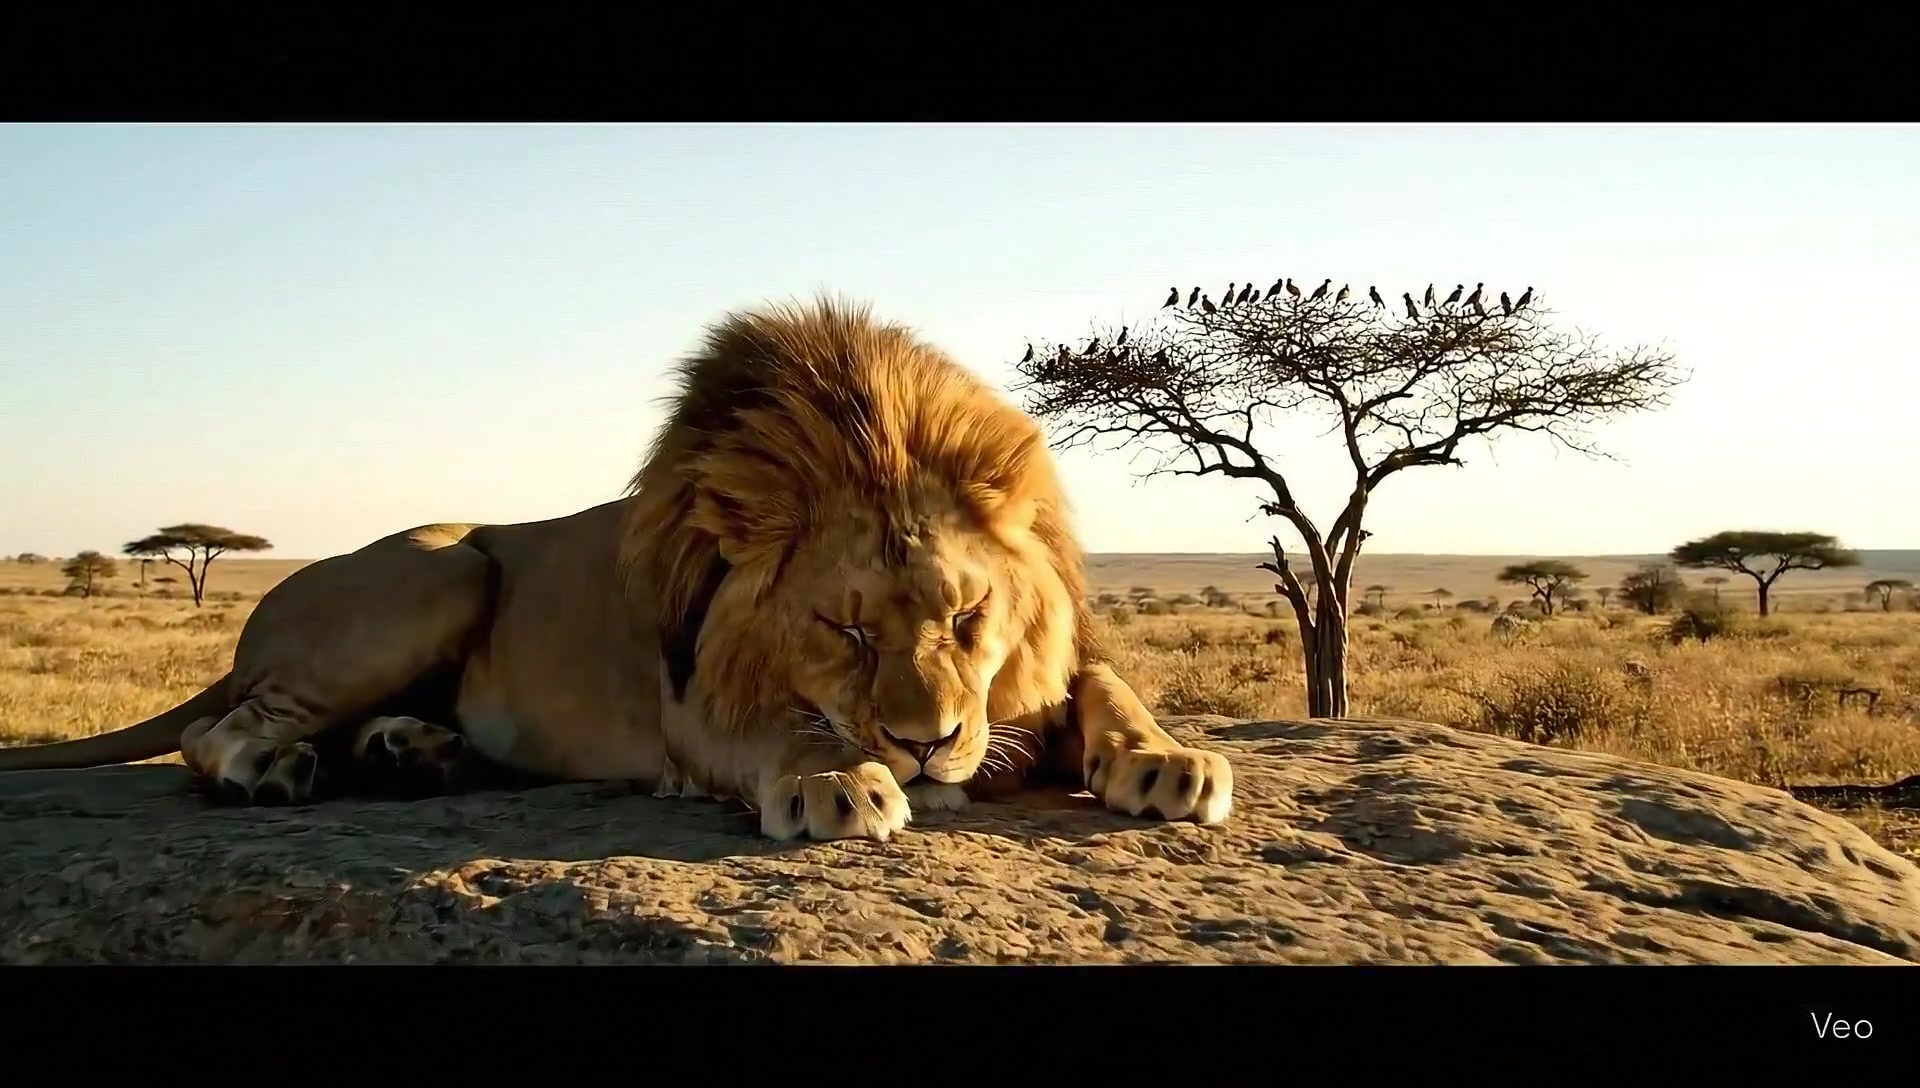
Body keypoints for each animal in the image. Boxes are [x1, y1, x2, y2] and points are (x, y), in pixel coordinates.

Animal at [0, 296, 1233, 842]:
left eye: (968, 615)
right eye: (844, 629)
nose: (925, 744)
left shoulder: (1034, 671)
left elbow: (1109, 687)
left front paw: (1168, 760)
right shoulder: (694, 705)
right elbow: (782, 732)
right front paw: (840, 779)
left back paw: (415, 751)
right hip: (445, 571)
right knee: (217, 730)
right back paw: (276, 769)